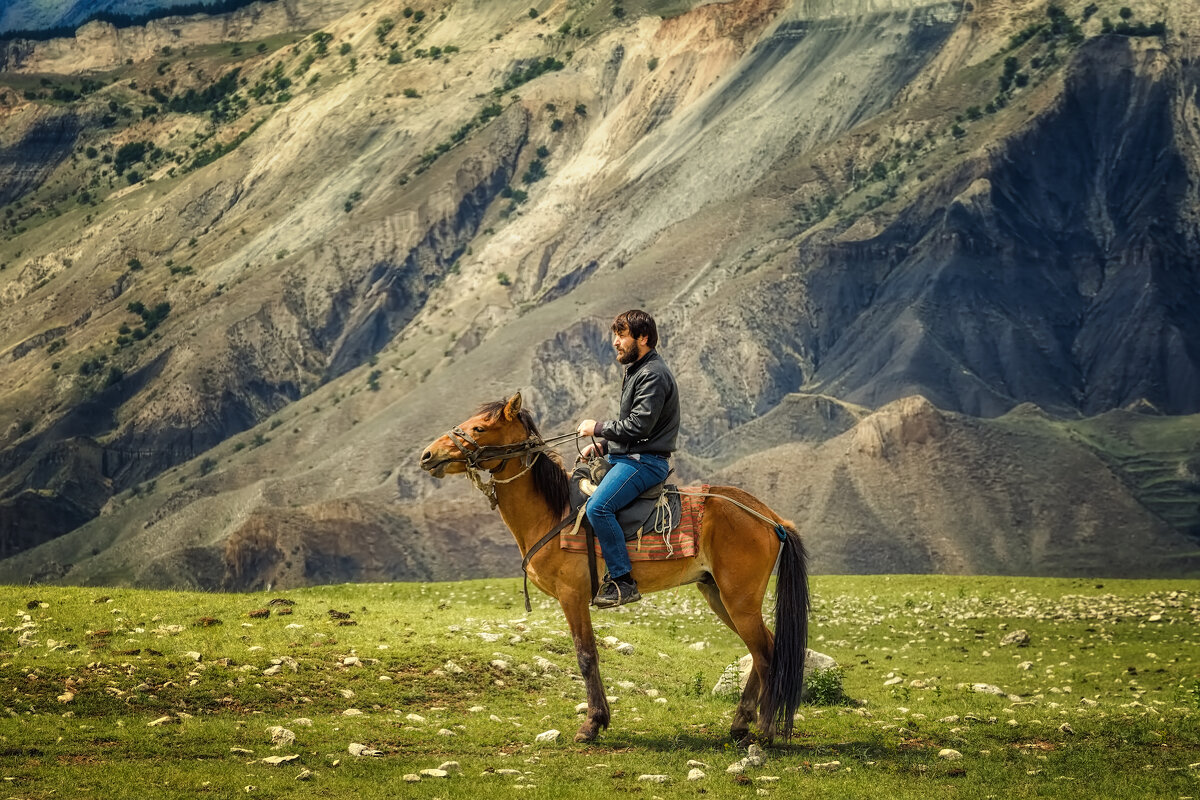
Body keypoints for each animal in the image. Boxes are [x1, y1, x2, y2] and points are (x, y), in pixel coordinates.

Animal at [417, 393, 811, 743]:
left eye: (480, 427)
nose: (428, 455)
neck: (553, 512)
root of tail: (770, 517)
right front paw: (598, 719)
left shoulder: (572, 596)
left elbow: (586, 656)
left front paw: (591, 725)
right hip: (718, 595)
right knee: (762, 650)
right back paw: (741, 725)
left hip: (739, 600)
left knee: (767, 654)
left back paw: (765, 731)